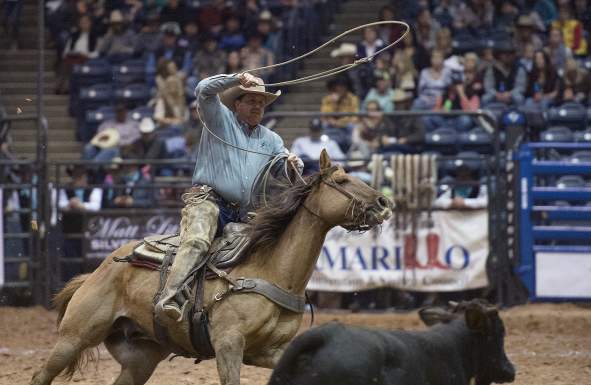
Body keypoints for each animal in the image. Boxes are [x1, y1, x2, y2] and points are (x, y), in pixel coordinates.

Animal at [32, 150, 394, 384]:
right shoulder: (228, 346)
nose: (384, 202)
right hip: (73, 338)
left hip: (140, 357)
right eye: (343, 180)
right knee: (41, 375)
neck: (273, 271)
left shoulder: (271, 351)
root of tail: (98, 272)